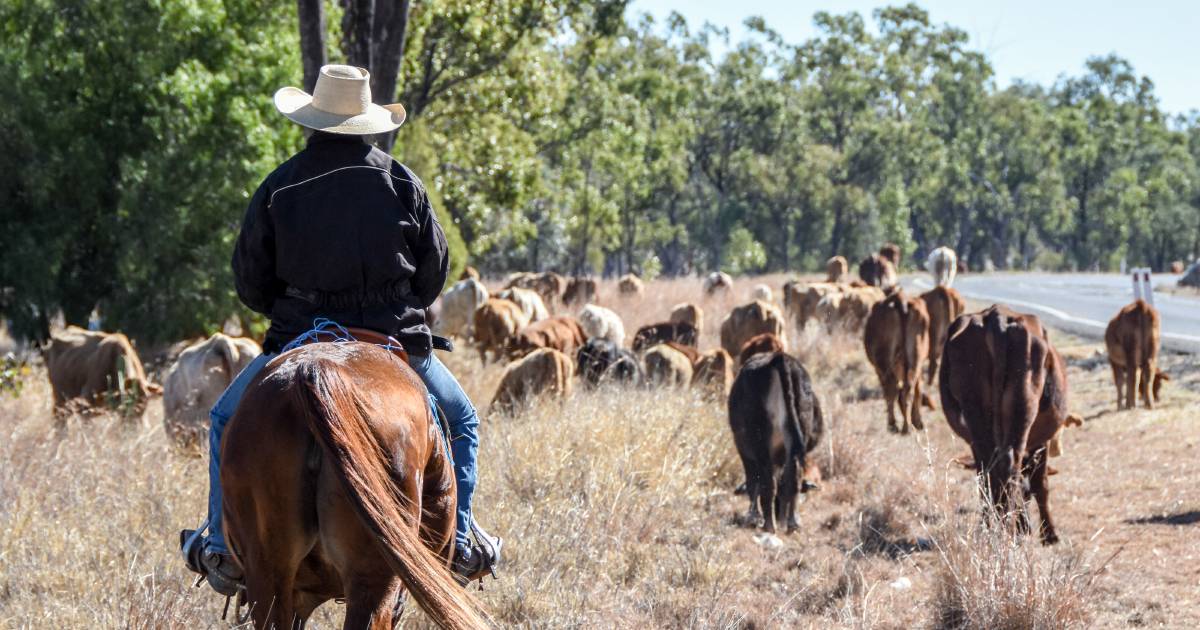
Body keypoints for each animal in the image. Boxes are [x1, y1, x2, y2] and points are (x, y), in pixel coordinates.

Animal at [724, 350, 820, 532]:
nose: (779, 513)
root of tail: (778, 358)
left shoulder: (745, 452)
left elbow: (753, 483)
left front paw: (753, 517)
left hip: (760, 444)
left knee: (767, 483)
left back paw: (769, 524)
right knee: (793, 478)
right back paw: (792, 523)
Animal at [864, 290, 926, 432]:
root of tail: (901, 299)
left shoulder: (879, 370)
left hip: (884, 365)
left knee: (892, 390)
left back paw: (894, 425)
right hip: (915, 360)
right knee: (908, 390)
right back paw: (907, 427)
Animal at [940, 302, 1084, 542]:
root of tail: (997, 317)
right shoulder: (1041, 443)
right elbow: (1039, 484)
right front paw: (1048, 534)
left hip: (976, 417)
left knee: (990, 473)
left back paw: (993, 527)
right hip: (1023, 411)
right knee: (1011, 469)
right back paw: (1009, 529)